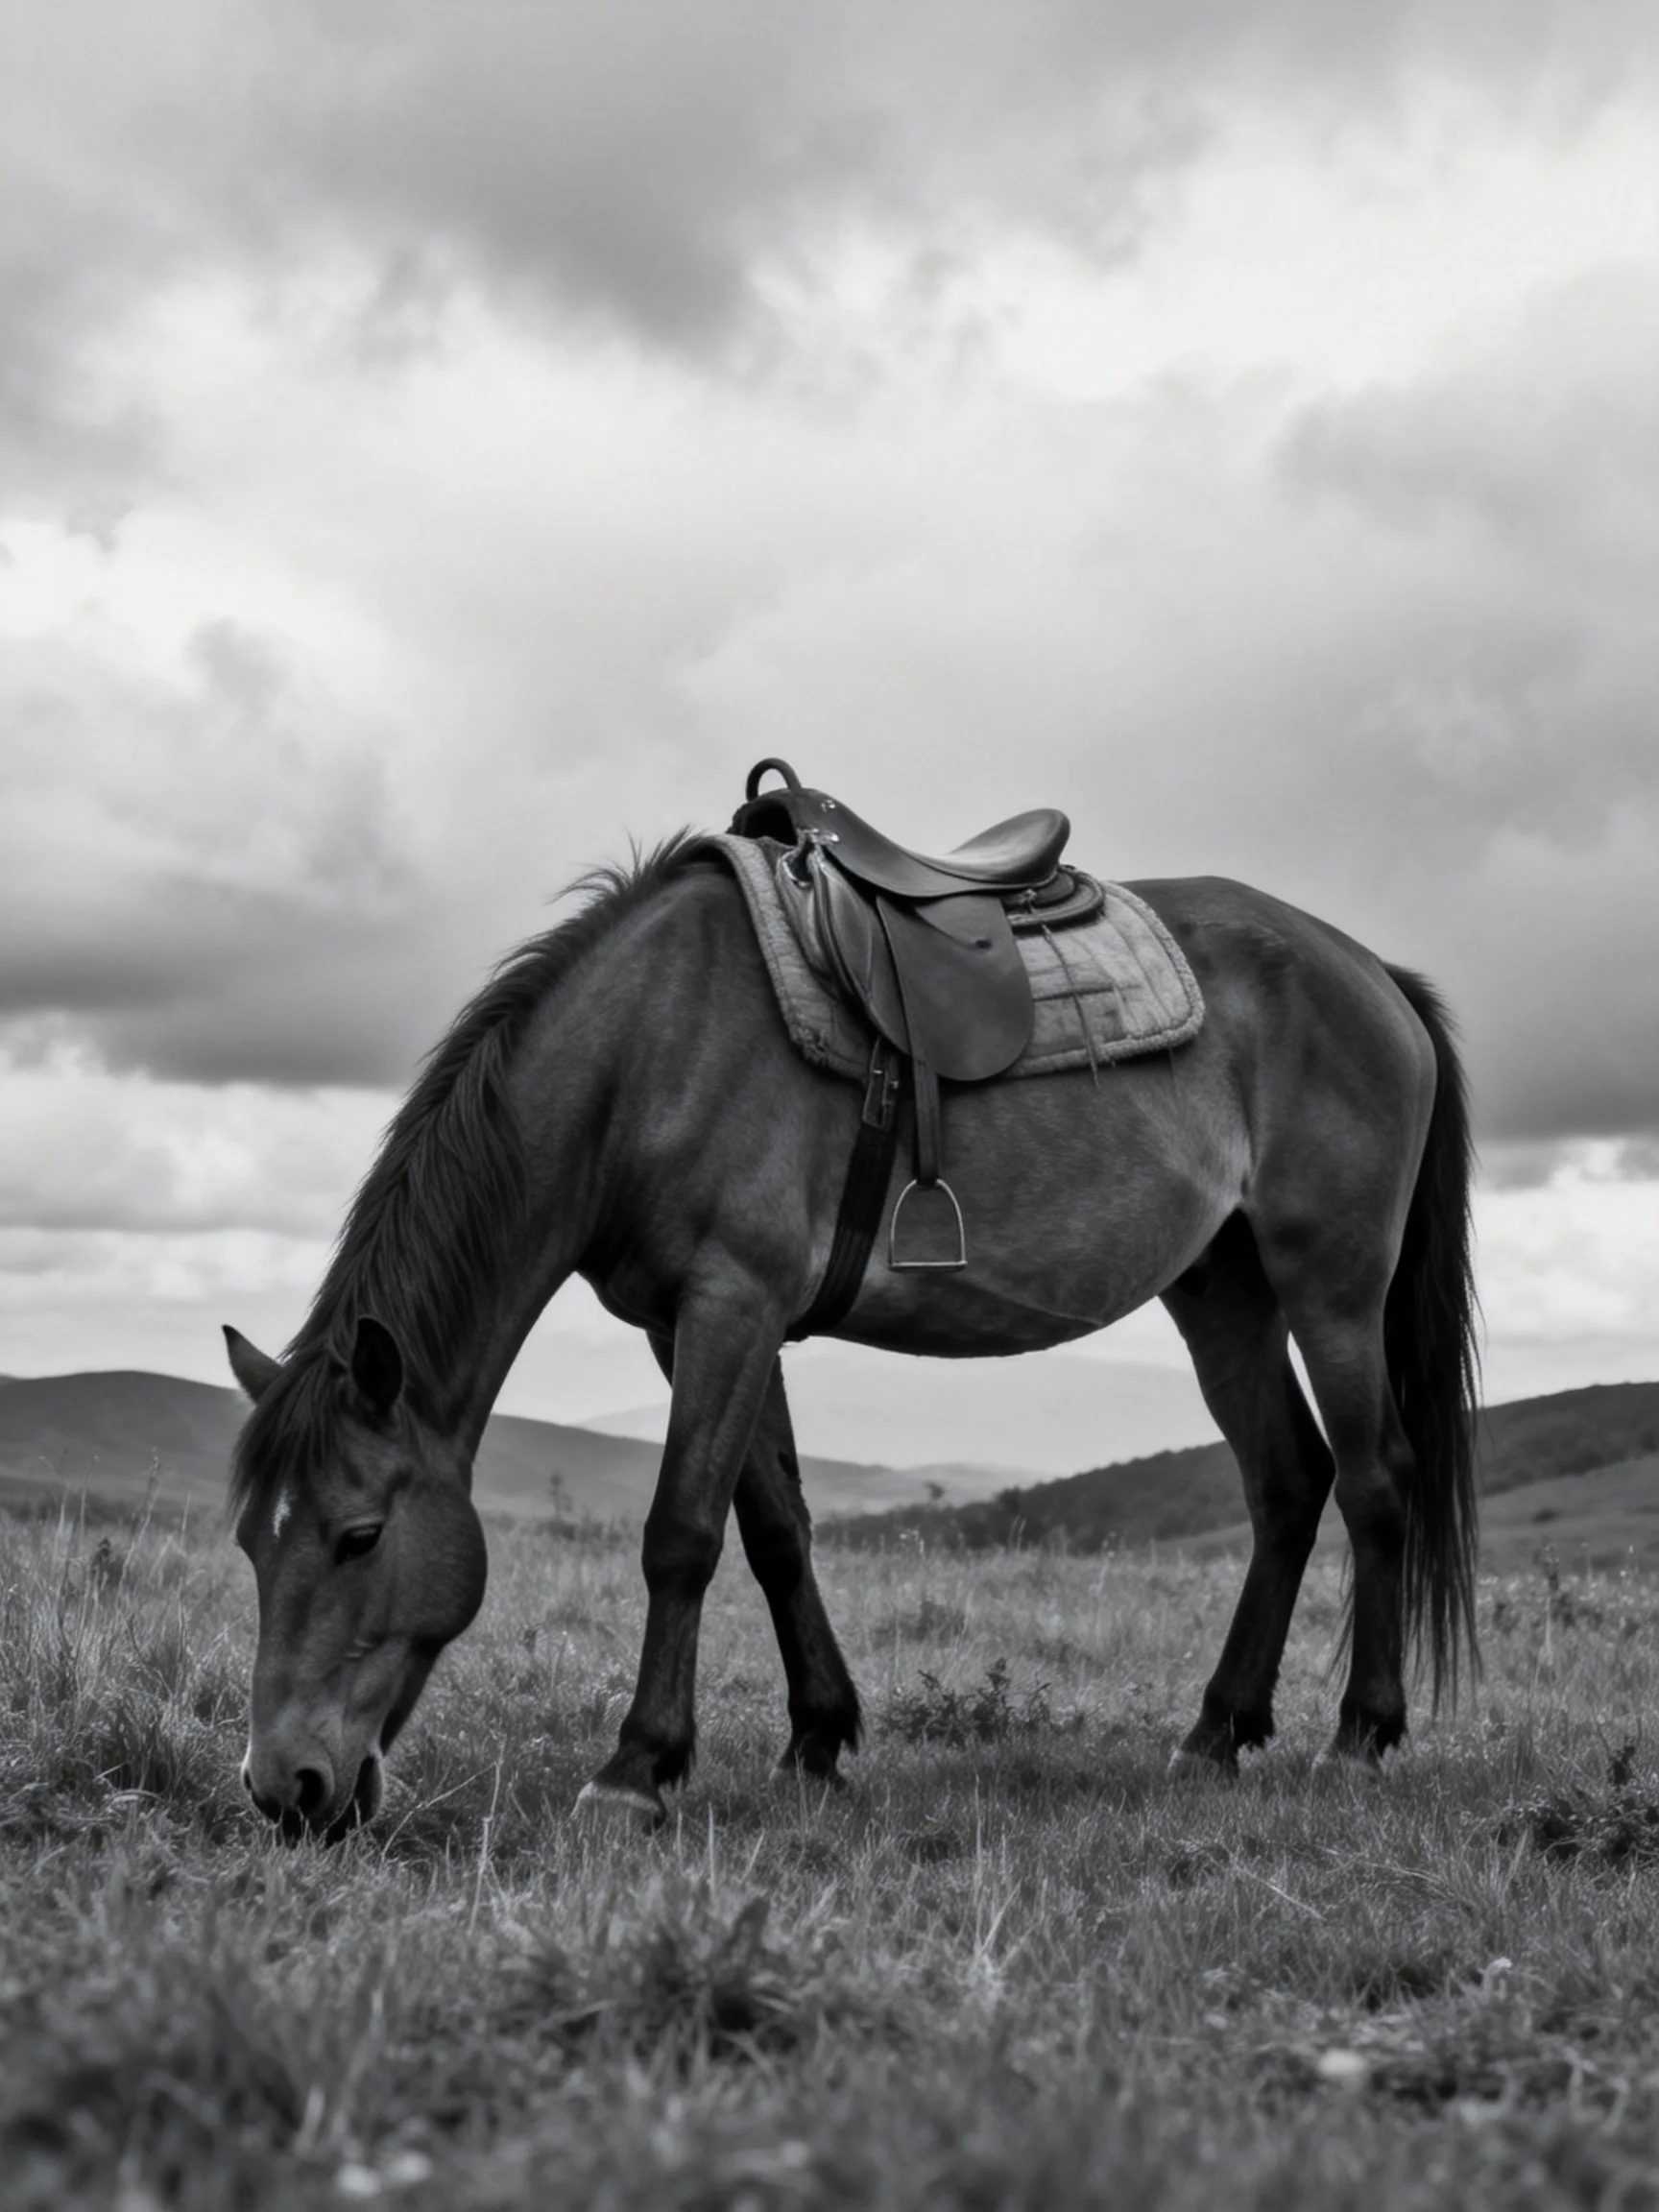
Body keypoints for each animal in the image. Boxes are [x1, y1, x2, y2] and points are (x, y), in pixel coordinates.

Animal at [224, 830, 1478, 1839]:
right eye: (250, 1543)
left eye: (359, 1536)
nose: (285, 1790)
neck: (646, 1051)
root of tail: (1374, 974)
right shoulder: (700, 1325)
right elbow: (776, 1529)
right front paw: (817, 1740)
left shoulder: (730, 1304)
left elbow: (681, 1534)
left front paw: (635, 1769)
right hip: (1224, 1292)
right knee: (1287, 1482)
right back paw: (1217, 1731)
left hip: (1331, 1283)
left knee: (1375, 1480)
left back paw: (1357, 1737)